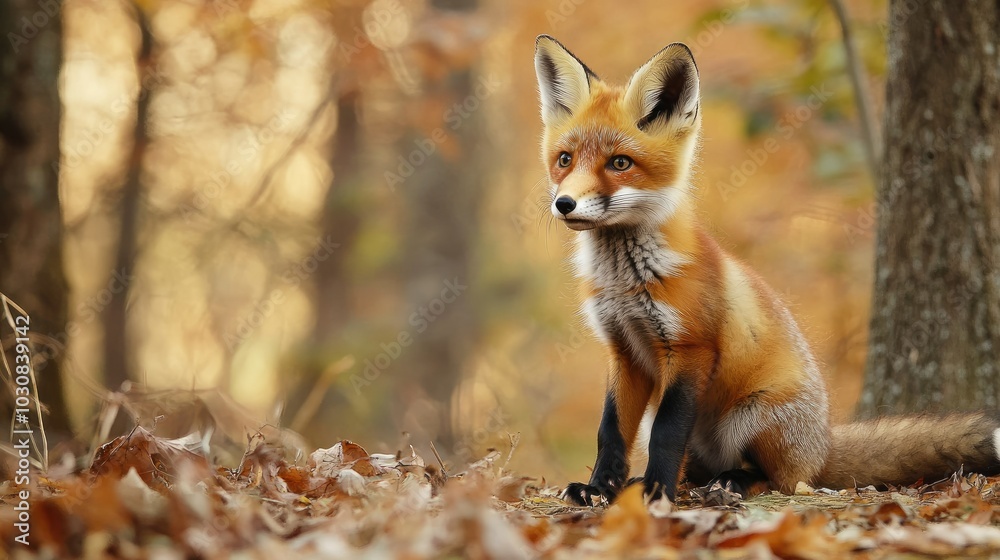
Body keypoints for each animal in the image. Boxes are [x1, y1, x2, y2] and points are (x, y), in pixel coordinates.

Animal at [532, 34, 1000, 506]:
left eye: (620, 163)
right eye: (565, 159)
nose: (565, 204)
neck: (627, 282)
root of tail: (823, 445)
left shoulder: (691, 349)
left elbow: (667, 433)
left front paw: (656, 491)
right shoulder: (623, 350)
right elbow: (609, 431)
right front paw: (599, 488)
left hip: (753, 416)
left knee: (781, 479)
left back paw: (732, 482)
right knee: (702, 469)